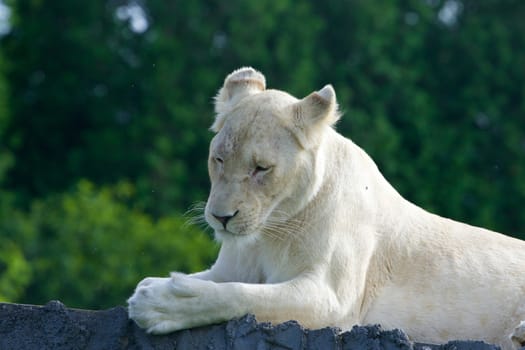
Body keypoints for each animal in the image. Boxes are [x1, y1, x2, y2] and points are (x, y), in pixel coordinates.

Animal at [128, 67, 524, 348]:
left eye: (261, 168)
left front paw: (156, 301)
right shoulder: (230, 267)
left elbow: (243, 295)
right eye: (219, 159)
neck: (270, 232)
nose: (221, 218)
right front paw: (149, 286)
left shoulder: (333, 301)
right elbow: (223, 282)